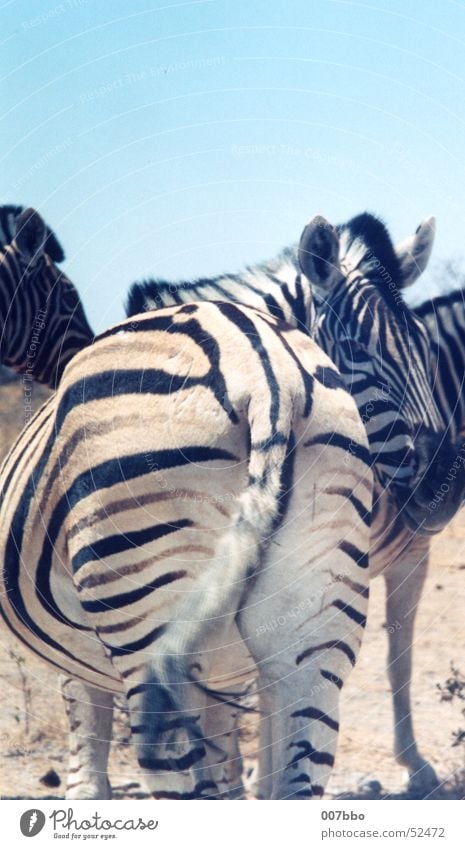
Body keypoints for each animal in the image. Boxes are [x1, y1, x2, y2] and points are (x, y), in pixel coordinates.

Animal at [0, 296, 372, 796]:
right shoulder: (229, 680)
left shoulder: (80, 665)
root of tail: (267, 376)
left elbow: (88, 763)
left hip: (147, 614)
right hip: (314, 634)